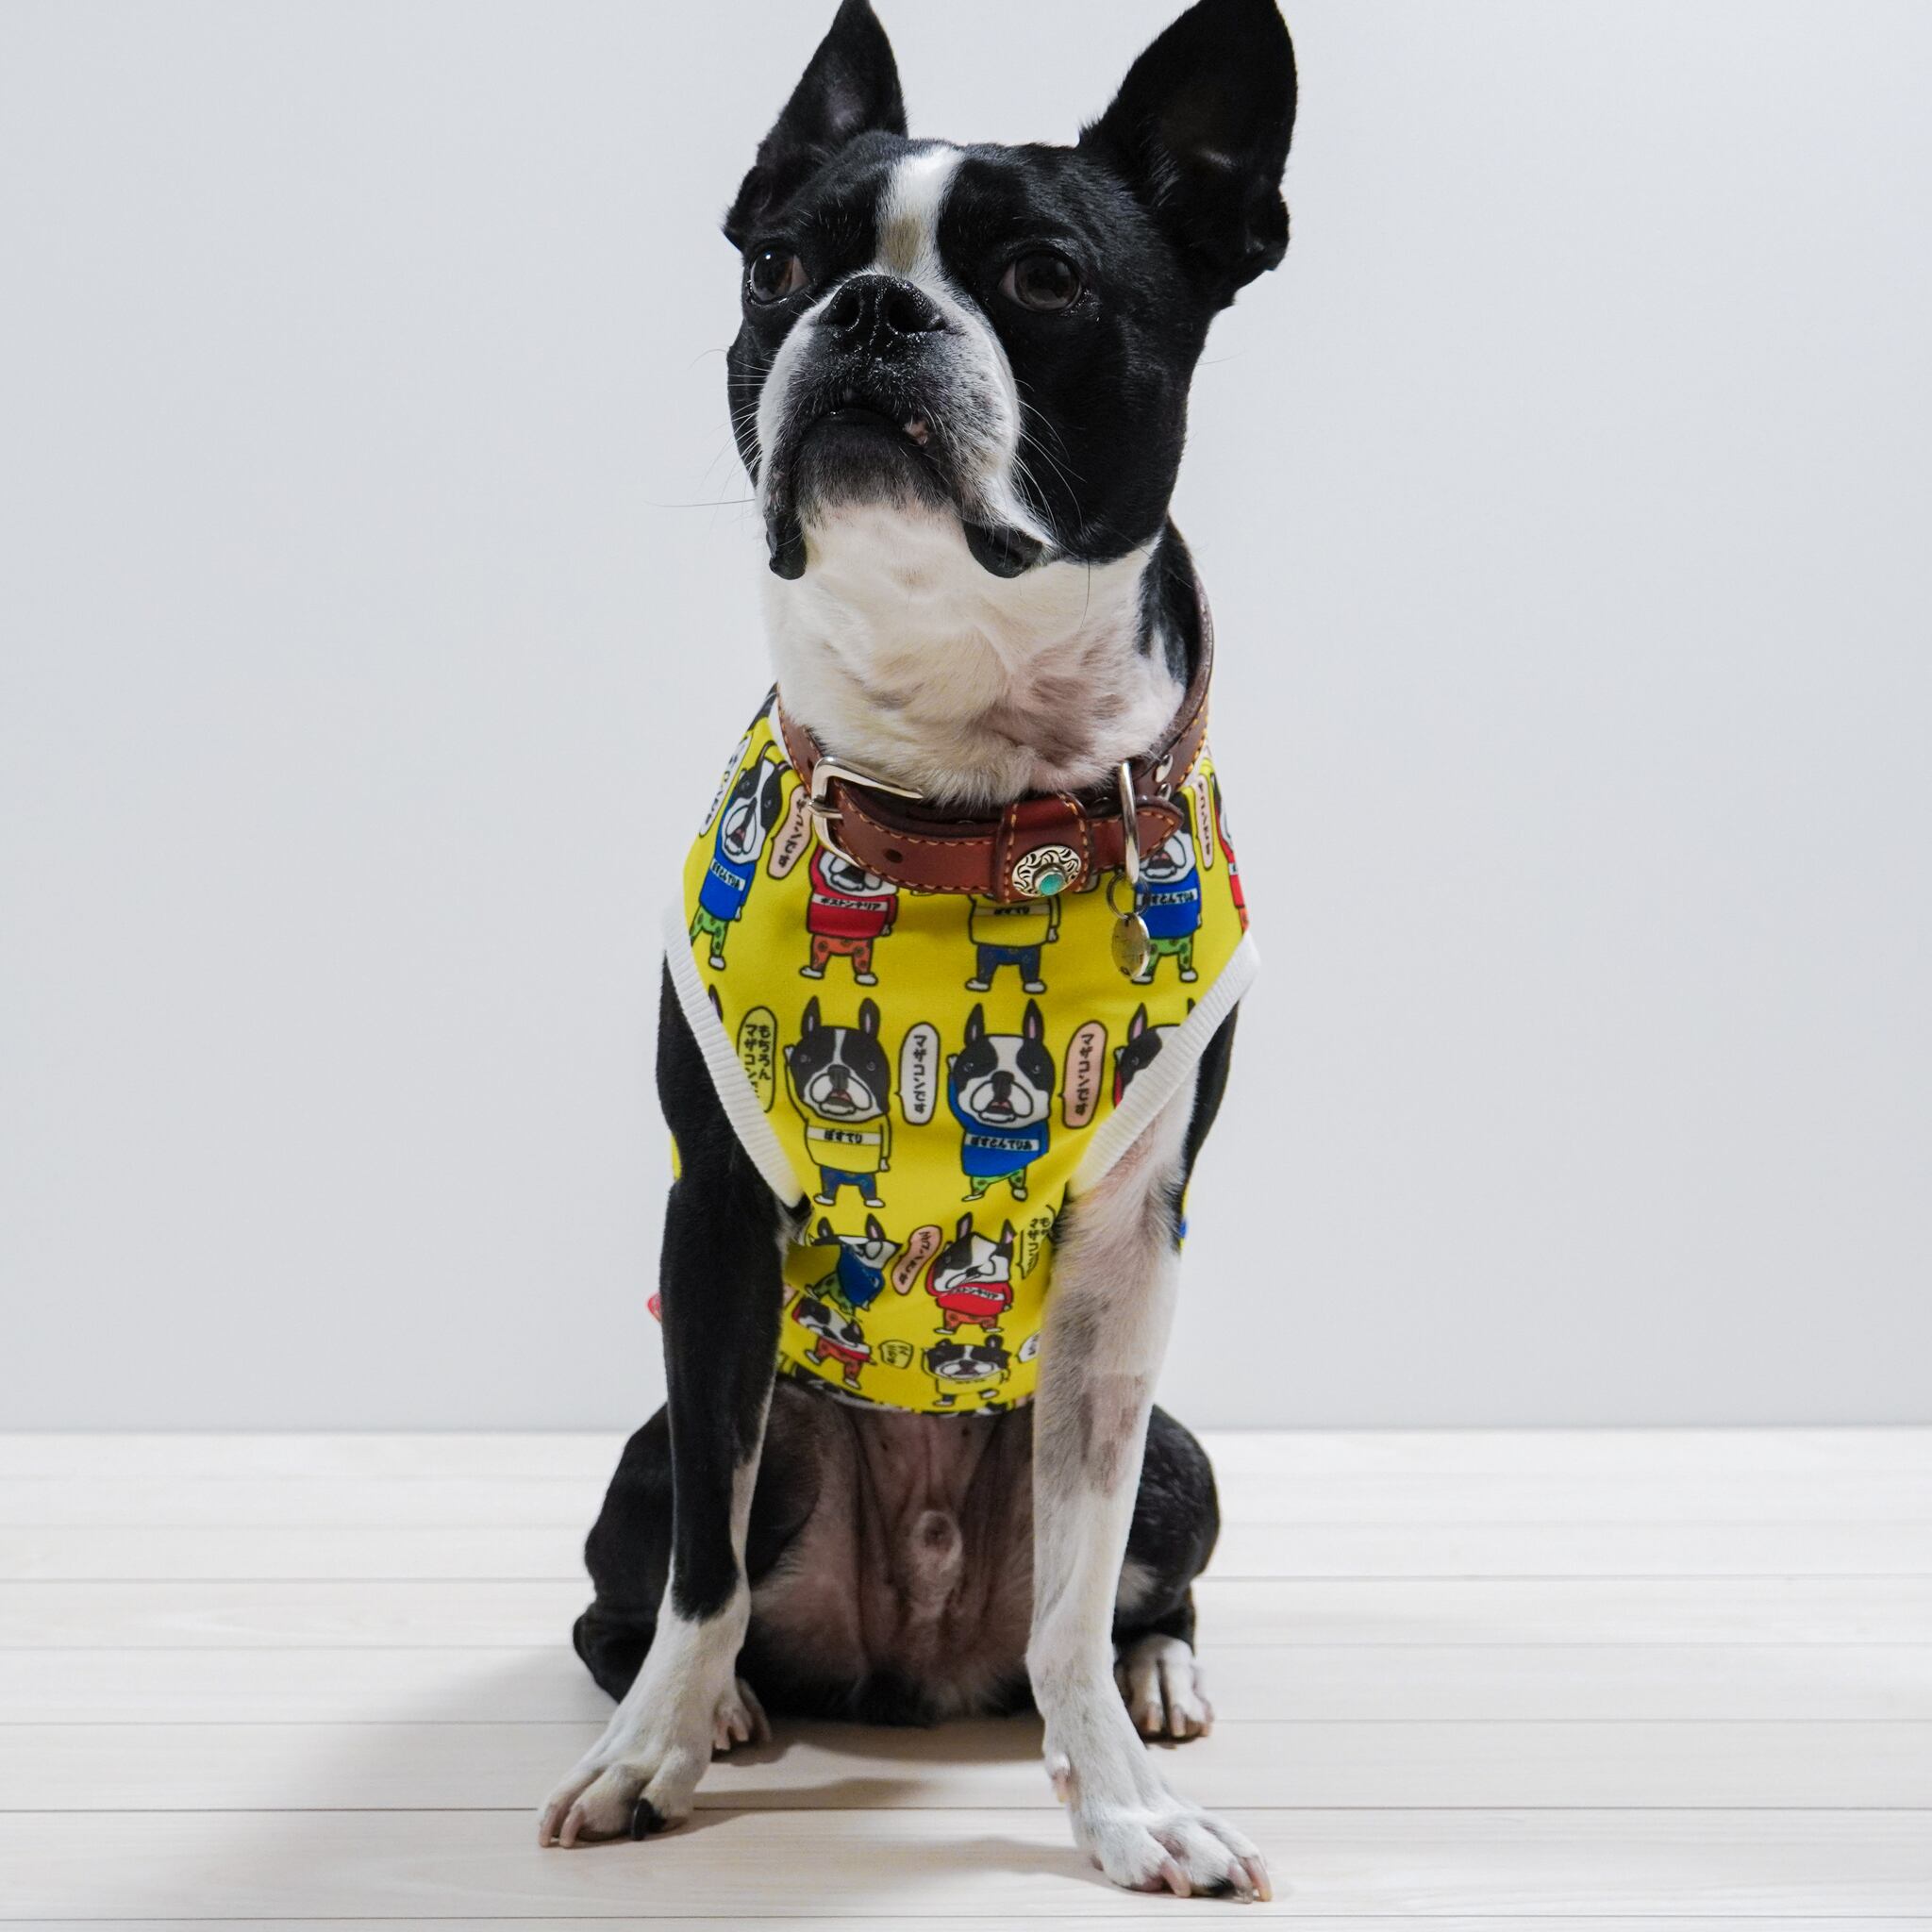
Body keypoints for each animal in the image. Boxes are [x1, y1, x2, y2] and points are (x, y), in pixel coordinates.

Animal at [541, 0, 1294, 1900]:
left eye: (1041, 276)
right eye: (777, 265)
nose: (871, 309)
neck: (963, 795)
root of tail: (909, 1661)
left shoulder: (1127, 1263)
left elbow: (1079, 1584)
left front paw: (1122, 1808)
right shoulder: (716, 1222)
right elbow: (704, 1570)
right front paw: (650, 1756)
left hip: (1185, 1454)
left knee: (1113, 1596)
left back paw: (1154, 1682)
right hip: (648, 1454)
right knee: (657, 1580)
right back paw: (725, 1706)